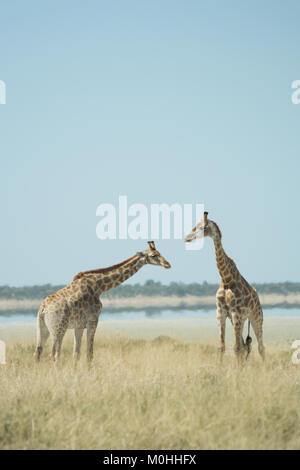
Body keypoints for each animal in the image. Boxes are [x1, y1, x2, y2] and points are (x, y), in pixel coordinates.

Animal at [34, 242, 171, 364]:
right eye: (154, 255)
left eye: (160, 253)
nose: (167, 264)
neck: (99, 287)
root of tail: (43, 308)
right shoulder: (93, 320)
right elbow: (89, 354)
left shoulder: (79, 325)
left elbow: (76, 354)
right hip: (58, 329)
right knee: (53, 355)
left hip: (43, 328)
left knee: (38, 353)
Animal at [185, 213, 264, 364]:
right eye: (195, 226)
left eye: (202, 227)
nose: (187, 237)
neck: (227, 279)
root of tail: (257, 296)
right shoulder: (221, 312)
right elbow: (222, 346)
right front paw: (220, 368)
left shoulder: (235, 313)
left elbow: (236, 348)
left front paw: (236, 371)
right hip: (240, 320)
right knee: (245, 346)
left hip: (256, 316)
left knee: (260, 347)